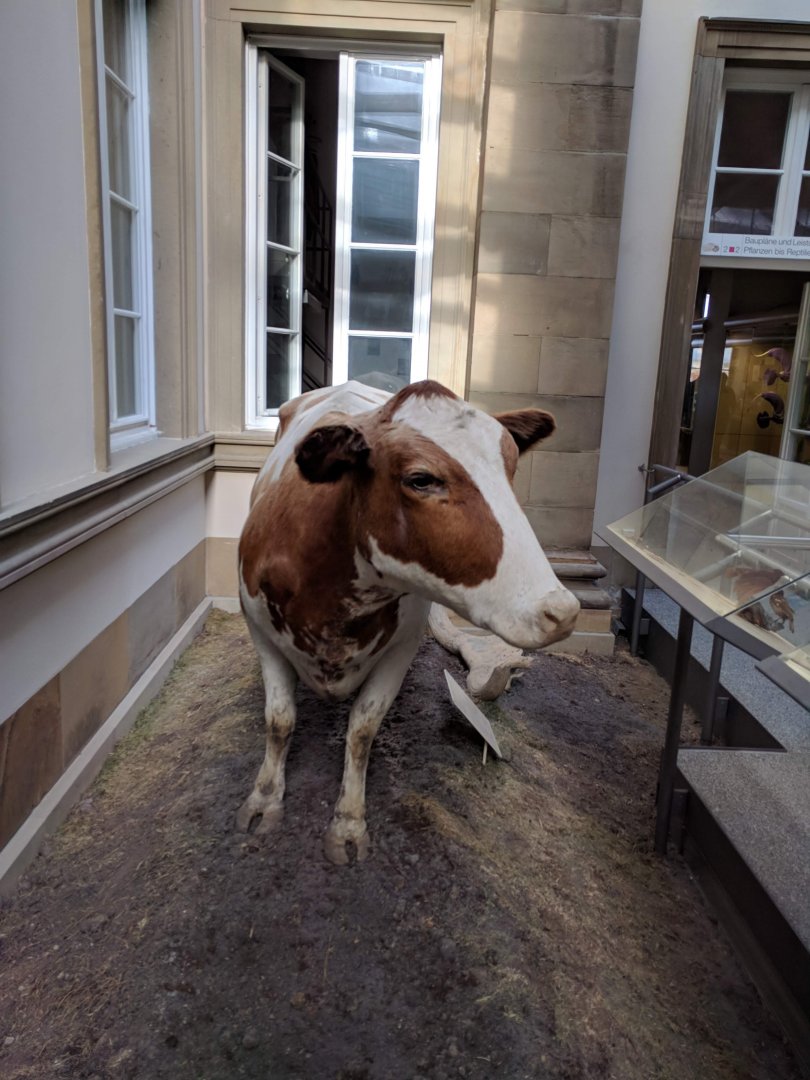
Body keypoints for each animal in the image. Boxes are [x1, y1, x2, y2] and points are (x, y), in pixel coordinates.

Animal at [238, 379, 579, 864]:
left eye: (512, 467)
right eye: (421, 479)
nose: (561, 611)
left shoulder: (400, 648)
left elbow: (362, 730)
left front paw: (348, 822)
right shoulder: (260, 628)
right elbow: (279, 719)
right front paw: (265, 799)